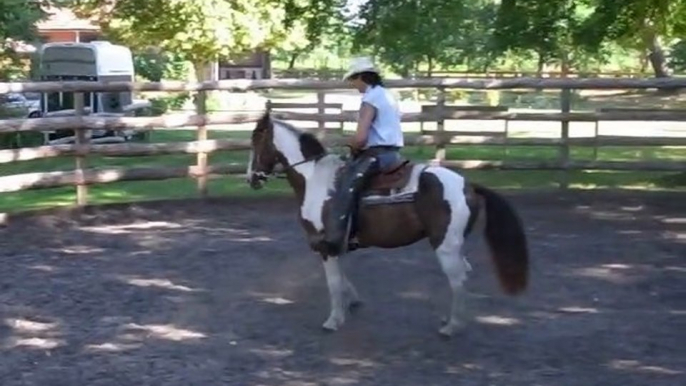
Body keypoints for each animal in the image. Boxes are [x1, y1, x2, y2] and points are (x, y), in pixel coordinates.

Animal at [247, 111, 532, 334]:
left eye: (255, 140)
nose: (251, 178)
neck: (314, 179)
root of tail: (468, 185)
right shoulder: (336, 244)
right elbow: (342, 276)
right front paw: (352, 302)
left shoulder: (323, 243)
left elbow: (334, 282)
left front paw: (334, 319)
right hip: (454, 244)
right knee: (463, 274)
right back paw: (451, 319)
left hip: (445, 246)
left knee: (458, 278)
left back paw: (452, 326)